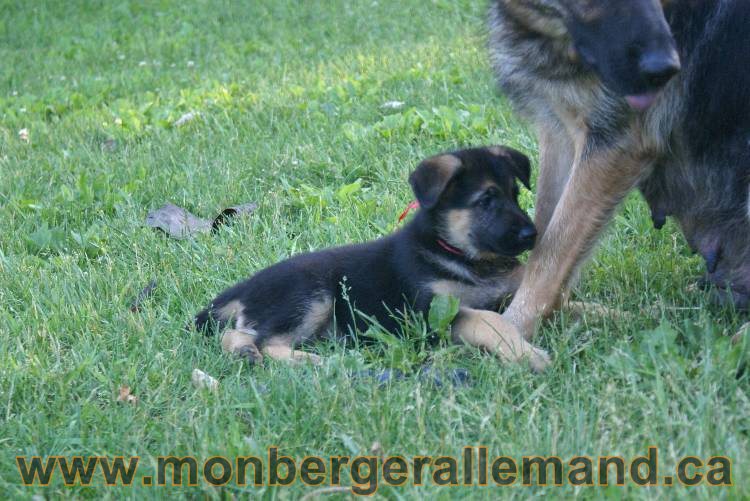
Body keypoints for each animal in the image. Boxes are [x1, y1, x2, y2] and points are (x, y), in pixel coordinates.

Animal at [195, 146, 552, 370]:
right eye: (486, 200)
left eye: (514, 194)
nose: (531, 234)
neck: (463, 256)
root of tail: (245, 286)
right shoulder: (431, 315)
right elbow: (489, 320)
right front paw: (528, 355)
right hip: (310, 294)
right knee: (261, 340)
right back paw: (309, 361)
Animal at [488, 0, 750, 356]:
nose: (667, 70)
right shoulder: (562, 133)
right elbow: (546, 238)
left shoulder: (615, 145)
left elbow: (552, 252)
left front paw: (506, 333)